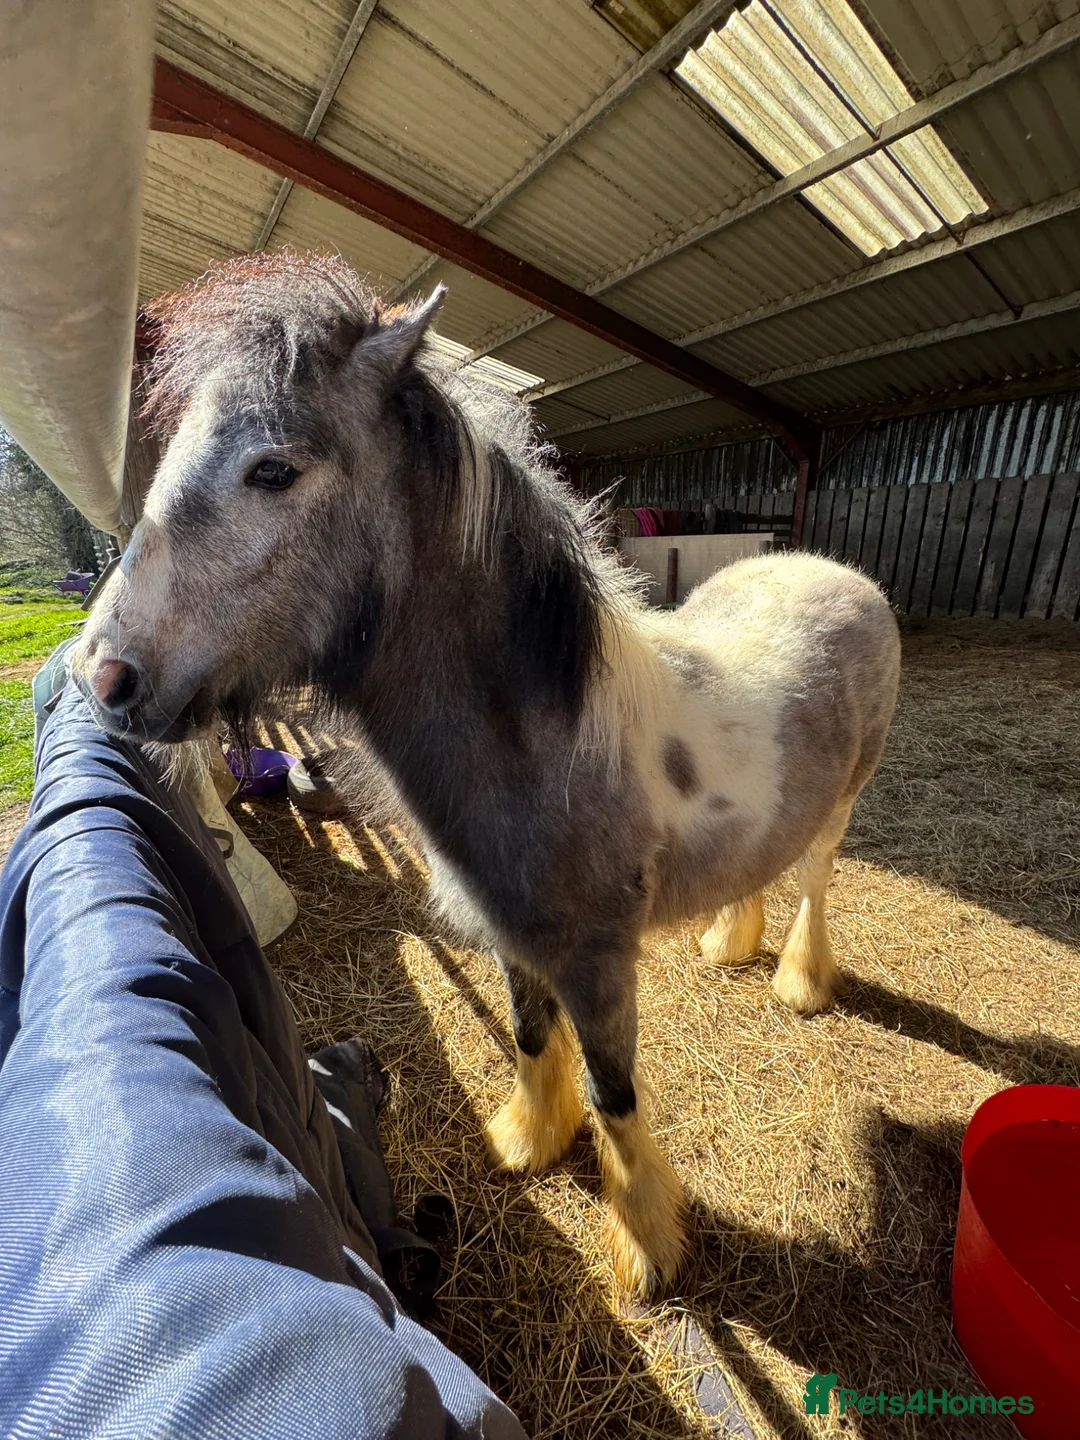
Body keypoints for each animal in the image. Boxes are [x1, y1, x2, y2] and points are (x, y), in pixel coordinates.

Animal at [72, 252, 901, 1296]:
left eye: (274, 468)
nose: (100, 676)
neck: (549, 746)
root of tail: (837, 573)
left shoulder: (597, 965)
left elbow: (616, 1094)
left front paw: (645, 1248)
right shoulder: (516, 942)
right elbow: (530, 1036)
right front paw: (530, 1142)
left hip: (842, 809)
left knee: (818, 884)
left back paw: (799, 983)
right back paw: (728, 942)